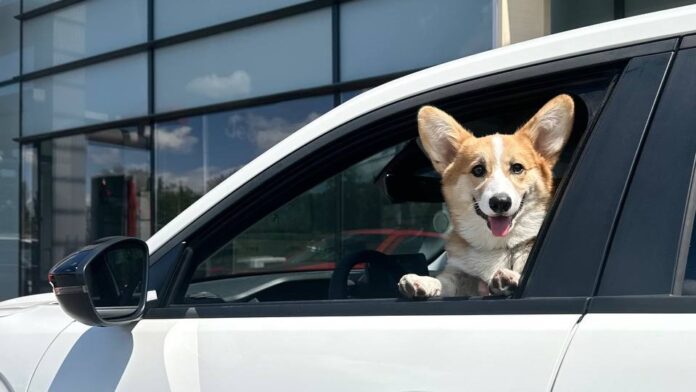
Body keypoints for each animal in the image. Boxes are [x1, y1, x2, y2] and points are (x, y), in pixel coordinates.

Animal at [400, 95, 572, 298]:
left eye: (517, 168)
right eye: (478, 170)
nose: (500, 203)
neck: (497, 245)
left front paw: (509, 277)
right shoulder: (460, 273)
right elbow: (446, 281)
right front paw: (423, 281)